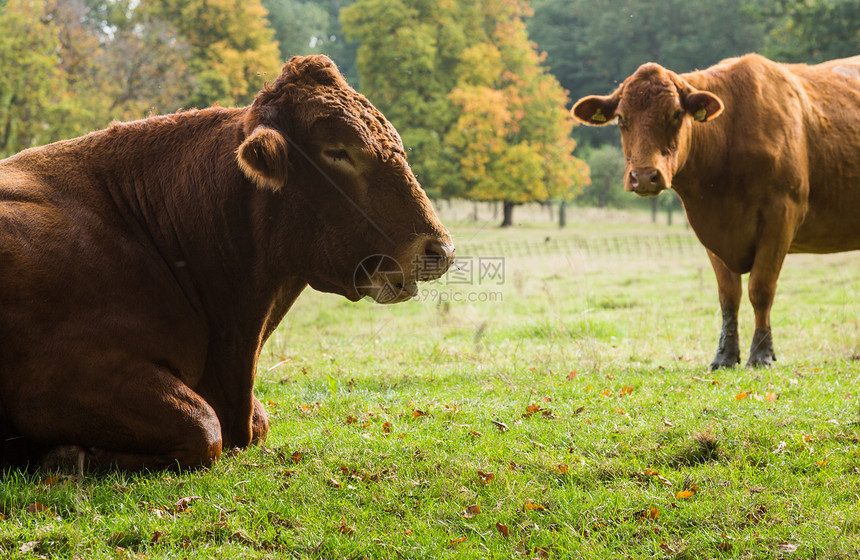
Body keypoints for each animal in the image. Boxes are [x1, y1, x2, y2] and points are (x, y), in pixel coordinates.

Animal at [0, 55, 456, 468]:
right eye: (338, 152)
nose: (440, 251)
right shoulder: (59, 379)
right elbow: (204, 428)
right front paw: (68, 454)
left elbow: (255, 420)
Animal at [572, 52, 860, 368]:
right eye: (622, 118)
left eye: (675, 114)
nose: (645, 176)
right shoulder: (711, 228)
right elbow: (729, 295)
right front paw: (725, 355)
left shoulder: (782, 215)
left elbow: (760, 289)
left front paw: (761, 353)